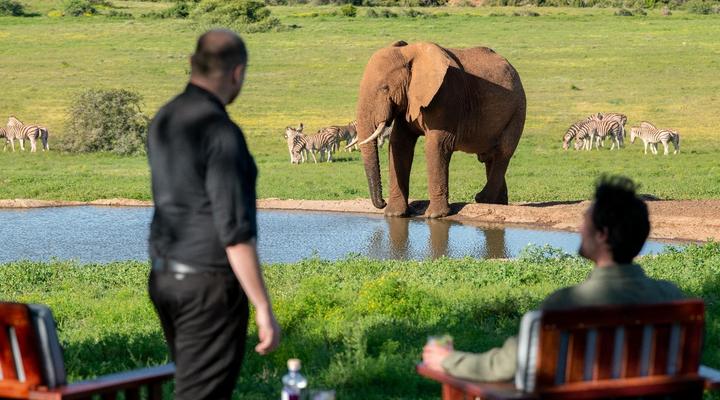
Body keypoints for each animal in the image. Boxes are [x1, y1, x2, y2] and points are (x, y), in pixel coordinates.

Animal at [352, 41, 526, 218]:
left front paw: (435, 216)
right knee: (489, 157)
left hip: (518, 110)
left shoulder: (446, 95)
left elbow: (436, 146)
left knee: (502, 153)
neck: (409, 52)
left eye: (385, 88)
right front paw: (394, 215)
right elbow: (399, 144)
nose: (382, 203)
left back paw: (483, 199)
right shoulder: (408, 100)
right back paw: (497, 204)